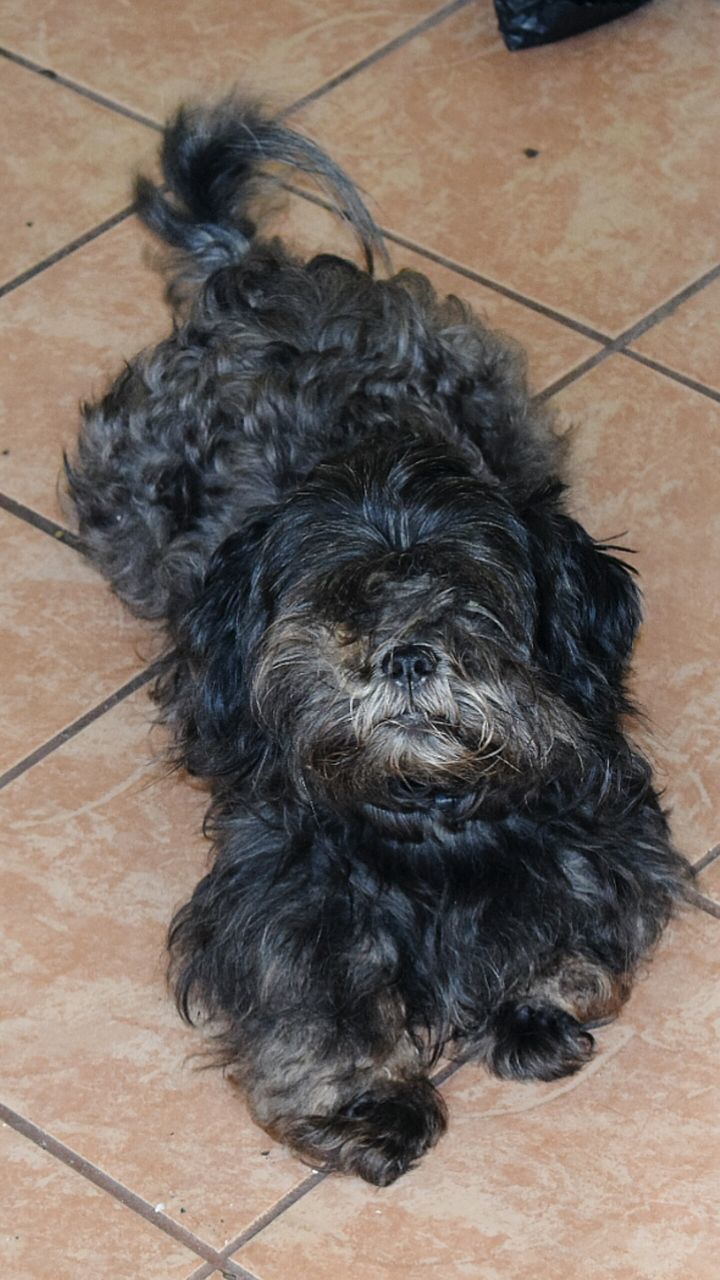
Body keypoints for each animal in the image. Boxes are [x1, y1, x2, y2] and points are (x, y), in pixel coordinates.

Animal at [67, 99, 691, 1187]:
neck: (432, 818)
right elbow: (318, 1004)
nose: (405, 654)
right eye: (341, 598)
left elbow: (572, 947)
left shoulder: (614, 842)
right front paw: (369, 1103)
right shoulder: (277, 898)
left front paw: (528, 1009)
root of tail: (257, 272)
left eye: (471, 594)